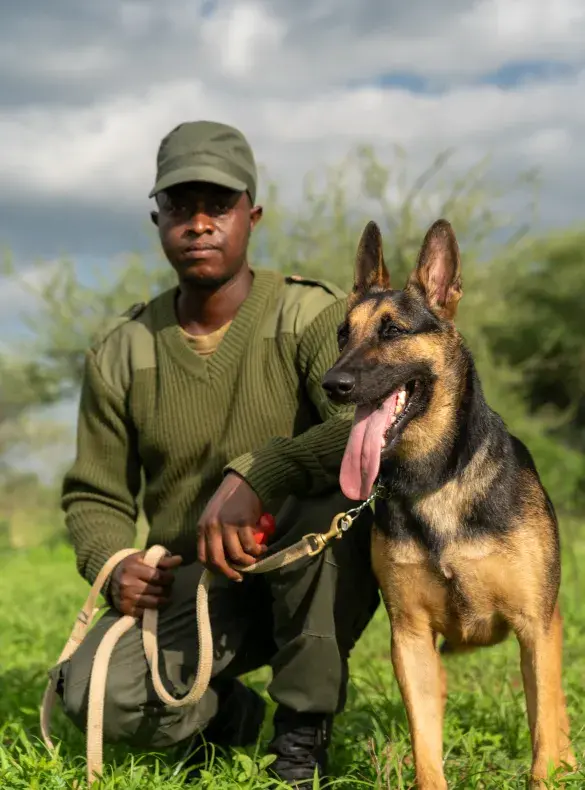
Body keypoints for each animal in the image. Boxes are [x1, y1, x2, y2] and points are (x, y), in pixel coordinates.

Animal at [324, 220, 576, 788]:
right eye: (343, 334)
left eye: (393, 332)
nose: (333, 385)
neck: (436, 479)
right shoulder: (410, 638)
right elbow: (425, 747)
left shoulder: (535, 627)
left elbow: (543, 732)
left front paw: (550, 771)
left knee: (555, 712)